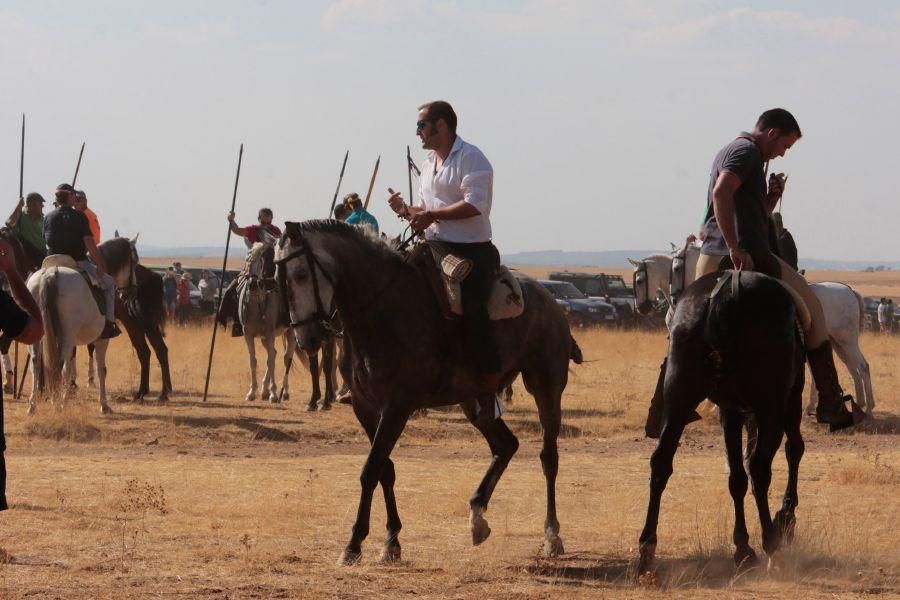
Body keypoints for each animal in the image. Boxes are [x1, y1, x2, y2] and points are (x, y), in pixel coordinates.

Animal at [26, 239, 138, 412]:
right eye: (134, 261)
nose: (131, 293)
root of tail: (51, 273)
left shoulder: (73, 342)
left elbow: (72, 365)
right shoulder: (102, 340)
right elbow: (101, 369)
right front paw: (104, 404)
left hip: (41, 337)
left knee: (36, 364)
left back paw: (33, 404)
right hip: (67, 336)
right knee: (61, 366)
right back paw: (60, 403)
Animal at [276, 219, 584, 564]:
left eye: (301, 274)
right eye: (277, 277)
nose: (306, 338)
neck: (382, 310)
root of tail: (552, 302)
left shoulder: (397, 407)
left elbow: (371, 470)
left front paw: (353, 544)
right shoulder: (364, 406)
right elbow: (385, 469)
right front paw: (391, 542)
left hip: (546, 386)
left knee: (548, 457)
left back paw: (551, 535)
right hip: (475, 401)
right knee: (505, 445)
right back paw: (477, 518)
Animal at [628, 243, 876, 418]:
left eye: (639, 280)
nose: (642, 308)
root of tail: (849, 289)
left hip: (846, 340)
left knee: (862, 366)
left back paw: (867, 408)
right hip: (836, 342)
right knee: (848, 368)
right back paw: (851, 404)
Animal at [636, 270, 804, 576]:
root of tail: (728, 291)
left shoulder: (730, 412)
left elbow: (735, 477)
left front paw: (743, 547)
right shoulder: (787, 401)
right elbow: (792, 451)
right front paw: (784, 518)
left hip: (679, 399)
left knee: (661, 462)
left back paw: (647, 549)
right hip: (772, 408)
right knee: (760, 468)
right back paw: (772, 545)